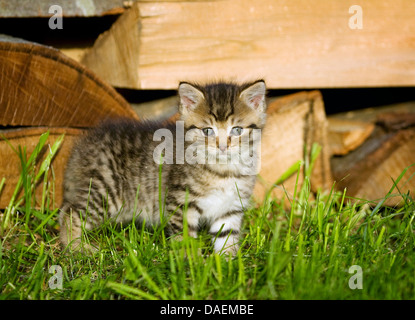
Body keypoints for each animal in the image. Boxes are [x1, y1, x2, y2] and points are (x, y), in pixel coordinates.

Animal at [59, 80, 266, 255]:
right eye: (207, 131)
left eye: (237, 130)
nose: (223, 147)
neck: (223, 171)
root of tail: (82, 146)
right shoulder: (180, 203)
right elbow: (185, 238)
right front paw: (192, 264)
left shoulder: (231, 208)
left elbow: (227, 238)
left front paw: (228, 266)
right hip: (106, 190)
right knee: (70, 213)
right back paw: (76, 246)